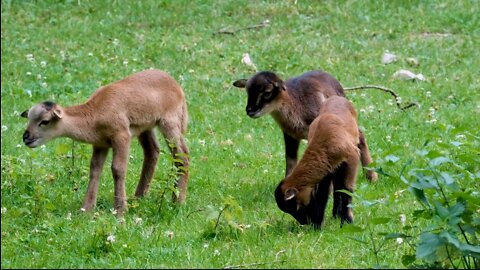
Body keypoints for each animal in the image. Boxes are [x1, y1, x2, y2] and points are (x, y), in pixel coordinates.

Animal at [21, 69, 189, 215]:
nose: (26, 137)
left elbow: (118, 169)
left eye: (45, 121)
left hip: (170, 121)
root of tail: (176, 85)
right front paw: (86, 209)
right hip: (145, 126)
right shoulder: (100, 143)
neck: (94, 113)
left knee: (182, 155)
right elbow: (95, 170)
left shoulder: (122, 135)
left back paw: (177, 201)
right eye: (28, 118)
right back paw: (139, 198)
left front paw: (120, 210)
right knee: (152, 152)